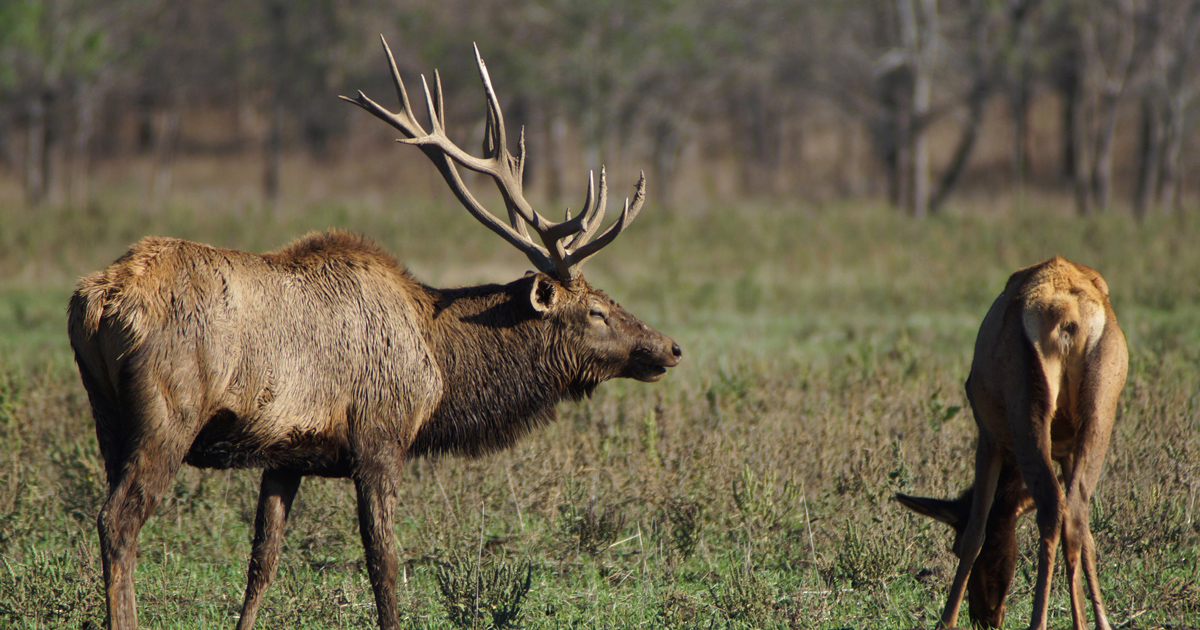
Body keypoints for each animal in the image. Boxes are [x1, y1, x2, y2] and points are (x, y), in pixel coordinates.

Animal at [68, 37, 681, 630]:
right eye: (596, 311)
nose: (669, 347)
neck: (442, 364)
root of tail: (96, 301)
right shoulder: (380, 437)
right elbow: (384, 563)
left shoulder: (285, 455)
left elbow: (262, 562)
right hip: (169, 411)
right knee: (118, 520)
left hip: (106, 415)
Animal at [903, 257, 1127, 630]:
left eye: (953, 545)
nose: (985, 617)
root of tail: (1068, 316)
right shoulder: (1066, 450)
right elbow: (1088, 538)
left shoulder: (989, 437)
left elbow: (977, 530)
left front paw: (945, 621)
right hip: (1099, 414)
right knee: (1075, 512)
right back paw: (1087, 624)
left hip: (1027, 415)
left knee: (1052, 506)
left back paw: (1038, 622)